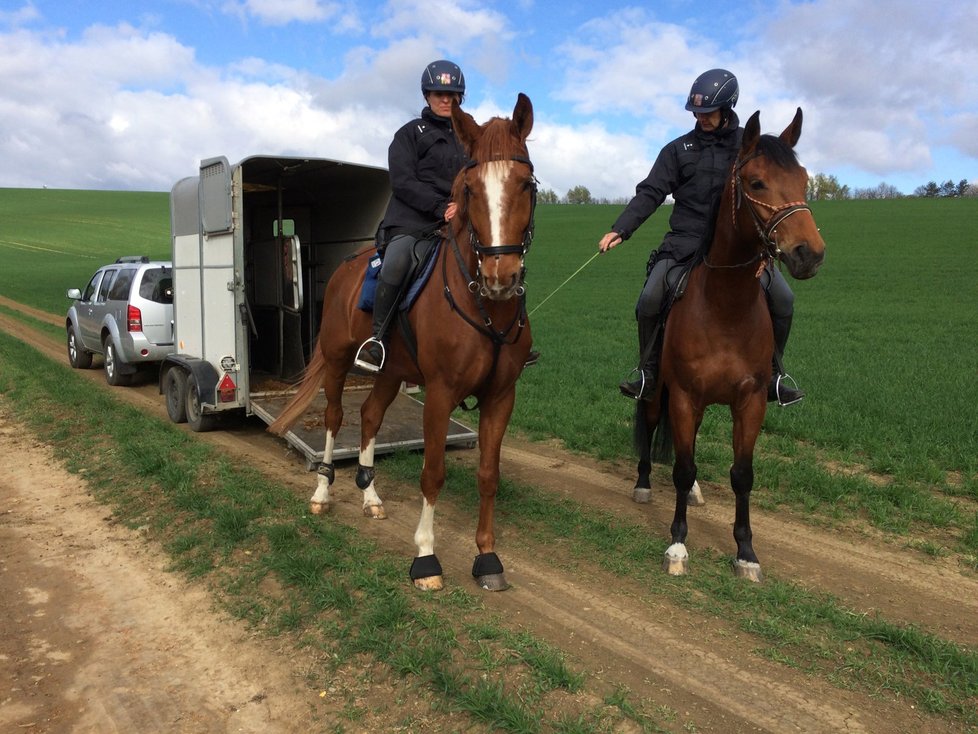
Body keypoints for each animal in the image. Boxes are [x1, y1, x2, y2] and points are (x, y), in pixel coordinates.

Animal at [266, 95, 532, 596]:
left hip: (390, 371)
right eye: (470, 190)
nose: (499, 277)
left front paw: (487, 557)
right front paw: (425, 558)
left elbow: (489, 476)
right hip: (336, 361)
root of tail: (347, 267)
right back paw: (323, 492)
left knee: (370, 415)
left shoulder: (501, 397)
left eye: (526, 184)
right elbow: (433, 474)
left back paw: (370, 496)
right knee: (336, 418)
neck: (484, 307)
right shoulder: (440, 394)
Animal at [632, 106, 824, 584]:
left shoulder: (750, 401)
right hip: (659, 391)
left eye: (803, 179)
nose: (809, 253)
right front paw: (678, 545)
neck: (725, 305)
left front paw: (746, 552)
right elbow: (682, 468)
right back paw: (643, 484)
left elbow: (742, 474)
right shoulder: (683, 395)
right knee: (651, 424)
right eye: (756, 182)